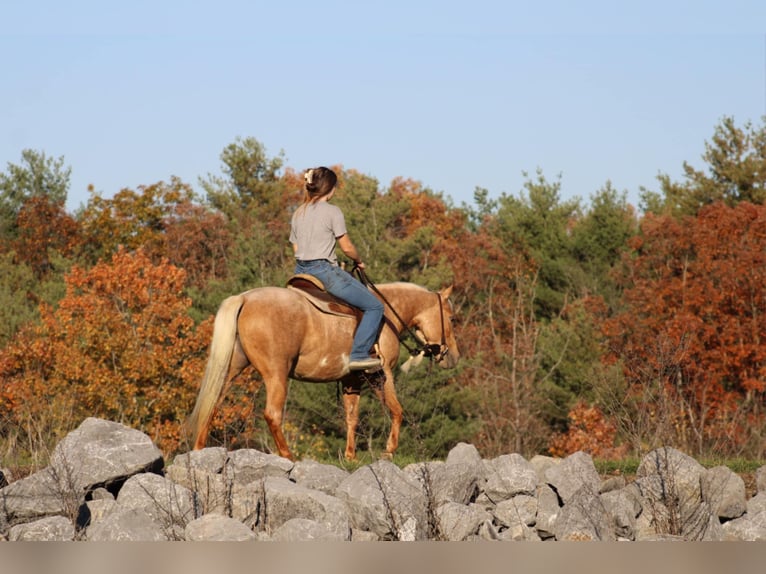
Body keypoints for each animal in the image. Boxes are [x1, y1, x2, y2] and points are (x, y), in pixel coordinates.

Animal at [186, 276, 460, 462]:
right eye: (451, 318)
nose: (454, 357)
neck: (388, 316)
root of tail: (244, 298)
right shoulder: (382, 375)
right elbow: (396, 410)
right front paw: (389, 451)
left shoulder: (352, 380)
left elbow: (352, 417)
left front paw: (350, 456)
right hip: (276, 375)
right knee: (272, 414)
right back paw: (288, 456)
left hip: (231, 369)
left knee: (213, 403)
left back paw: (200, 449)